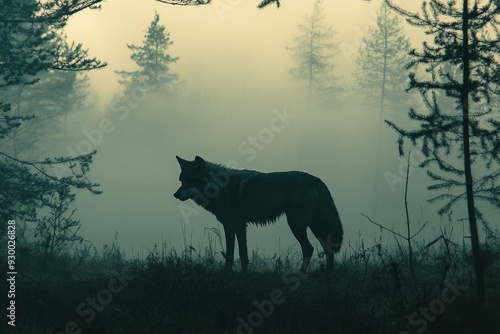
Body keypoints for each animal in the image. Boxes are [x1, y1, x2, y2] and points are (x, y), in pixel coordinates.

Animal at [173, 155, 344, 272]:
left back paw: (300, 275)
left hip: (297, 224)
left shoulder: (231, 226)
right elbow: (243, 255)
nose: (175, 195)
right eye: (181, 181)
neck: (220, 188)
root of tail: (316, 179)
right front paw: (243, 275)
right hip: (315, 225)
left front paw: (227, 274)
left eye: (190, 181)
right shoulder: (240, 226)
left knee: (309, 248)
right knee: (327, 248)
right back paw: (328, 275)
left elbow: (231, 255)